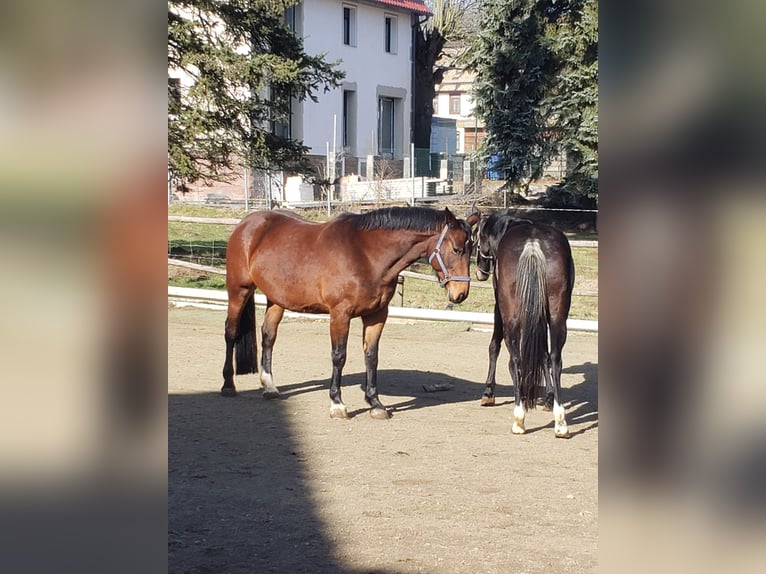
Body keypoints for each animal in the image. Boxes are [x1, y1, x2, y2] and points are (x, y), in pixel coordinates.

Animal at [222, 206, 480, 419]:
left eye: (472, 251)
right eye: (456, 249)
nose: (461, 294)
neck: (366, 255)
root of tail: (248, 224)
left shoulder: (377, 315)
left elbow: (372, 356)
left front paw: (375, 404)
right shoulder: (340, 314)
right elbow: (339, 356)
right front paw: (337, 404)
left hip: (276, 300)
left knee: (268, 336)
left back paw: (269, 386)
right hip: (238, 291)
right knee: (231, 333)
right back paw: (228, 385)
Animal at [474, 210, 575, 437]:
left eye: (477, 239)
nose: (480, 272)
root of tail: (533, 244)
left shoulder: (499, 308)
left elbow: (494, 346)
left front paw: (488, 392)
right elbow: (544, 355)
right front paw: (548, 398)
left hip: (511, 316)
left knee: (515, 360)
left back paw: (519, 419)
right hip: (557, 317)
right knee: (555, 359)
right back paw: (560, 421)